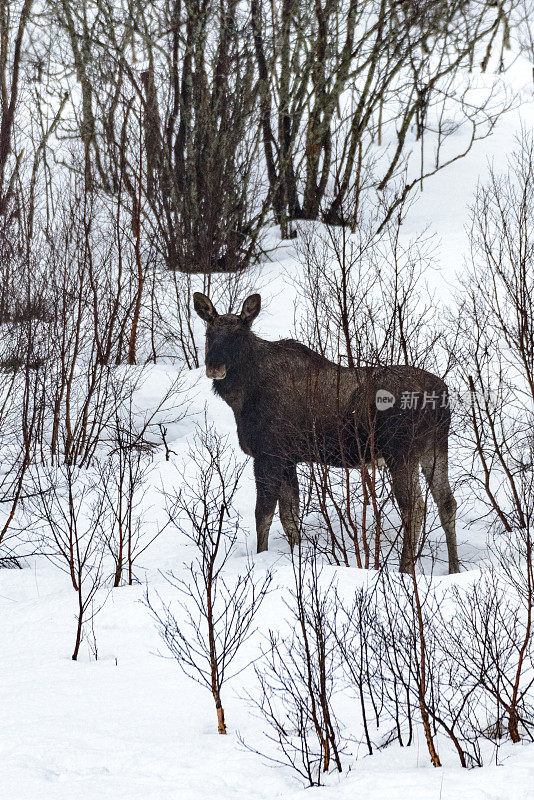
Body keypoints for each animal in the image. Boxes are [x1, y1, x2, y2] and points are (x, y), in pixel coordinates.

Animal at [193, 290, 460, 572]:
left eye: (238, 335)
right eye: (208, 333)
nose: (214, 367)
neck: (242, 396)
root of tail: (441, 396)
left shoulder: (269, 454)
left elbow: (263, 514)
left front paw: (261, 556)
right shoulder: (288, 459)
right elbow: (290, 518)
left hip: (401, 450)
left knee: (414, 506)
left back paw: (404, 570)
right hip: (434, 447)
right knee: (446, 502)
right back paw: (454, 567)